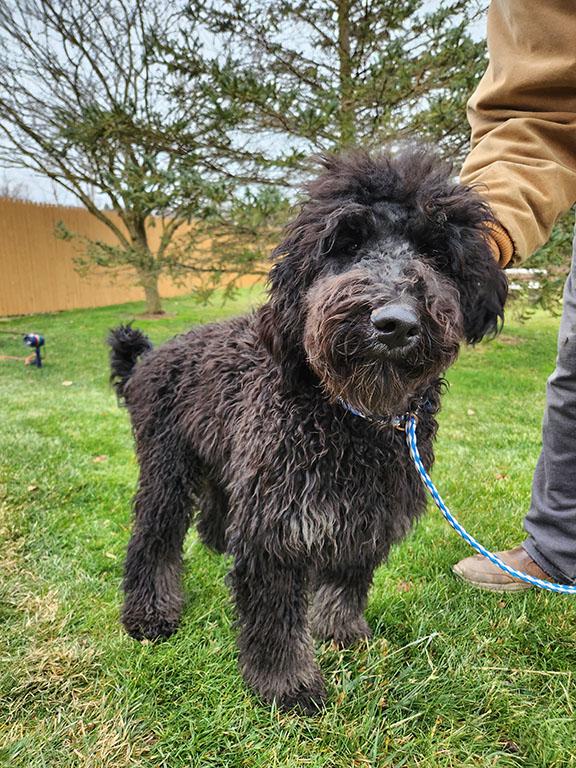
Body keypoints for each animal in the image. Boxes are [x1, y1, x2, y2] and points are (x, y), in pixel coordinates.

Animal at [108, 148, 507, 713]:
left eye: (436, 252)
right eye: (347, 243)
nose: (396, 323)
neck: (351, 420)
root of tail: (149, 358)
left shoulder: (367, 513)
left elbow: (345, 582)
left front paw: (341, 634)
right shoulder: (276, 525)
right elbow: (275, 614)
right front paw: (287, 685)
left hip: (224, 459)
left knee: (213, 511)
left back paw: (215, 545)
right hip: (168, 467)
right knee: (153, 539)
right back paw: (150, 613)